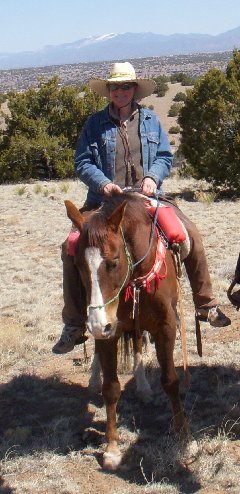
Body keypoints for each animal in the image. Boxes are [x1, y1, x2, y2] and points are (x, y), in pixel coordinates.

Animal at [64, 191, 188, 468]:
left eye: (113, 262)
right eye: (77, 264)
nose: (96, 324)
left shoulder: (166, 326)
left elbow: (170, 380)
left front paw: (183, 435)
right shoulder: (110, 332)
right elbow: (110, 388)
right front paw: (111, 448)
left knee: (139, 345)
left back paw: (143, 388)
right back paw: (93, 378)